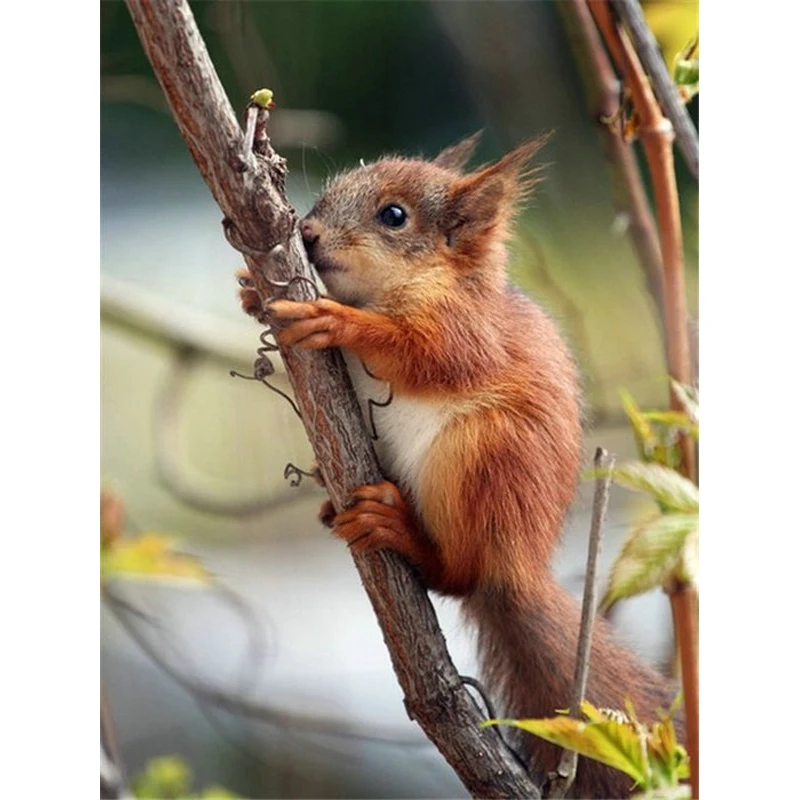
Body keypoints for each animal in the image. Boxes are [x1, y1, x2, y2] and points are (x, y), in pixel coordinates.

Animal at [238, 132, 683, 798]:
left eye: (394, 216)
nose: (307, 234)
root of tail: (516, 566)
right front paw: (247, 287)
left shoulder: (467, 331)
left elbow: (424, 351)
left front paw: (336, 321)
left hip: (482, 456)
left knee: (457, 575)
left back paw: (400, 530)